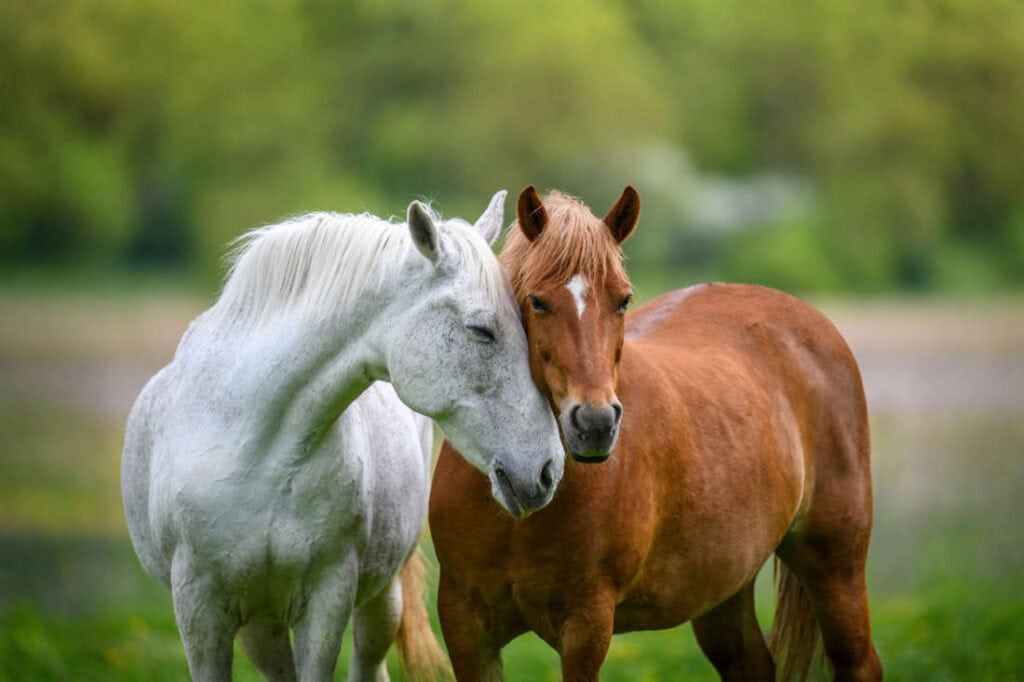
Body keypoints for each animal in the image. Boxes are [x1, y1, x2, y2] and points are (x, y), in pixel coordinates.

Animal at [121, 191, 566, 682]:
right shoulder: (199, 610)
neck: (251, 447)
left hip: (378, 602)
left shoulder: (328, 597)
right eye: (481, 330)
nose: (547, 470)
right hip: (260, 623)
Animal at [429, 186, 882, 681]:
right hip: (724, 590)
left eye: (623, 300)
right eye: (537, 301)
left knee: (860, 661)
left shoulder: (586, 624)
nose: (595, 424)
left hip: (834, 565)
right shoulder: (465, 624)